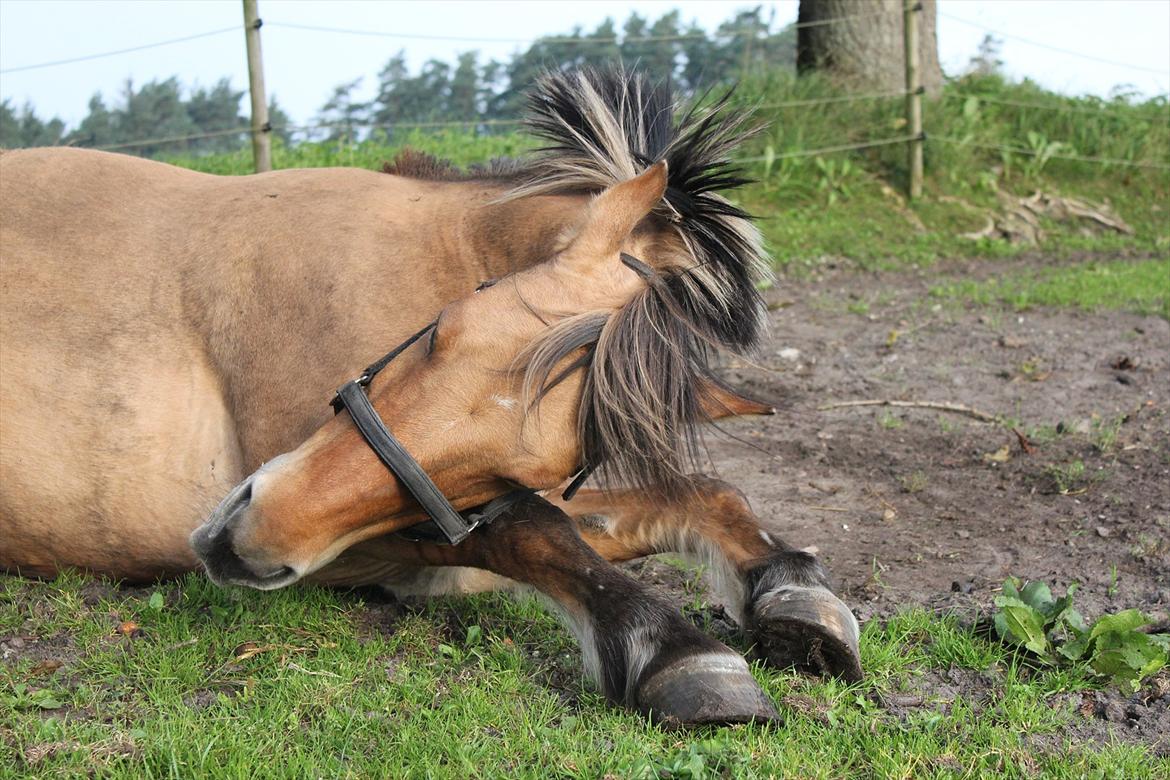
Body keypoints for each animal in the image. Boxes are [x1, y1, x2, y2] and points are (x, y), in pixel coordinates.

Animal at [0, 67, 861, 725]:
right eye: (442, 330)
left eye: (513, 468)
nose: (241, 539)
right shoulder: (366, 548)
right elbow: (544, 534)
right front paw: (677, 651)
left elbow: (689, 497)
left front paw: (792, 593)